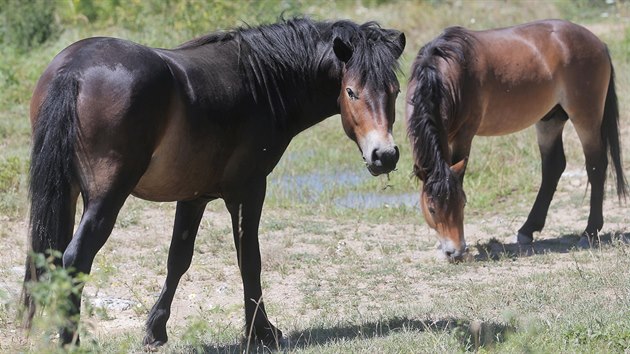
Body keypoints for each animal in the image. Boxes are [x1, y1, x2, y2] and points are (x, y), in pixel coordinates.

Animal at [22, 18, 408, 348]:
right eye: (351, 92)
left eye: (395, 91)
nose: (385, 155)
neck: (260, 81)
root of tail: (74, 70)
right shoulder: (249, 190)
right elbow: (249, 260)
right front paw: (261, 333)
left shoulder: (194, 197)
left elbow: (178, 259)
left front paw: (156, 330)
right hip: (106, 197)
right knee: (75, 258)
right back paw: (71, 342)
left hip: (65, 193)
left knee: (47, 257)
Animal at [408, 20, 628, 262]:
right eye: (432, 209)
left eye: (463, 203)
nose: (454, 252)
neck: (444, 73)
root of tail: (599, 44)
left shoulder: (463, 136)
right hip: (550, 119)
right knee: (553, 167)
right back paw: (528, 229)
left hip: (585, 116)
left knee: (596, 166)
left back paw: (589, 232)